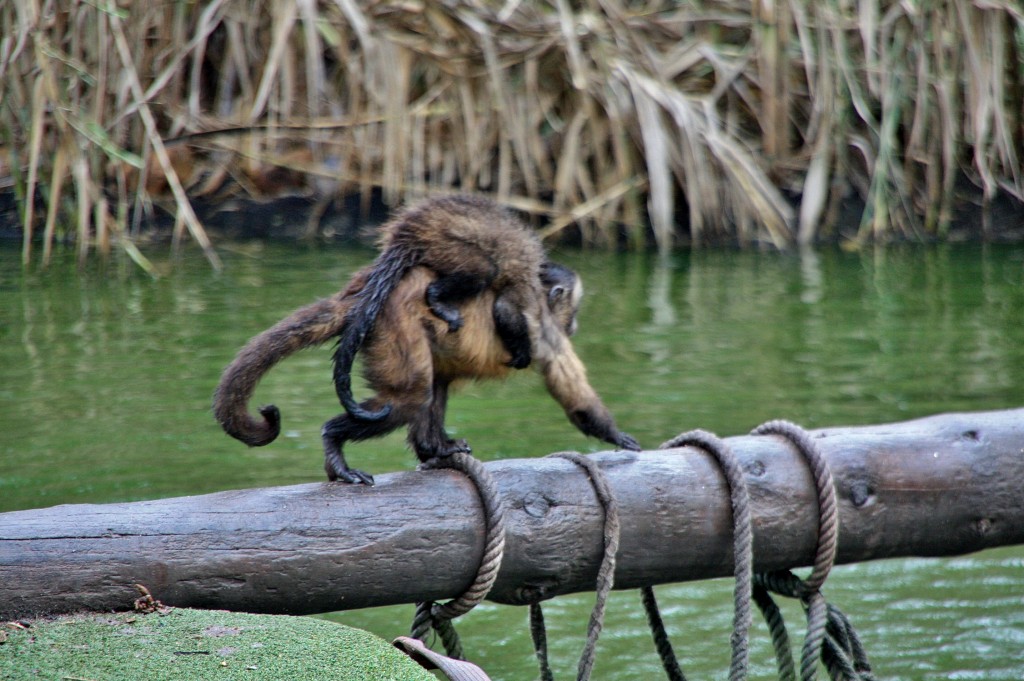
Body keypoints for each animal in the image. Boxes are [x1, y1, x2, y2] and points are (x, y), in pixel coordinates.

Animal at [211, 259, 634, 483]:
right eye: (573, 308)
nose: (574, 324)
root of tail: (365, 294)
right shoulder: (541, 323)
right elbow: (570, 390)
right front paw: (615, 434)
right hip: (392, 327)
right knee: (411, 394)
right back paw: (334, 441)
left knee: (433, 384)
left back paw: (435, 448)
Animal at [331, 193, 548, 421]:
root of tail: (407, 233)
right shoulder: (524, 287)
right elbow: (505, 310)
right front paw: (523, 353)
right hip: (448, 247)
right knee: (481, 270)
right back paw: (442, 305)